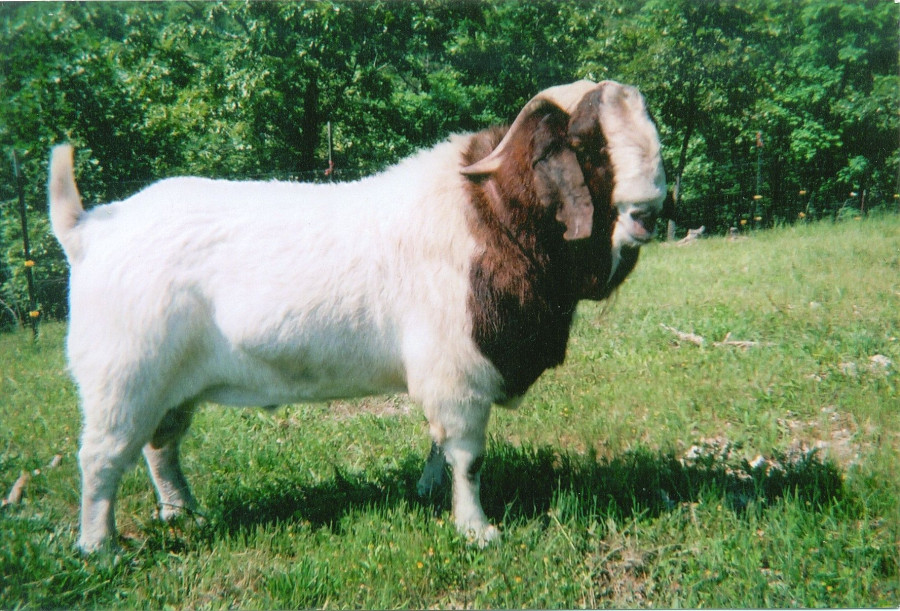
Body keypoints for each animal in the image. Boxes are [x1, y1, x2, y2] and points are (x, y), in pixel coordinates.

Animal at [49, 79, 666, 552]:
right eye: (586, 141)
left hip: (170, 387)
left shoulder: (445, 380)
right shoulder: (459, 376)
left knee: (161, 447)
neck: (489, 212)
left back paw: (185, 514)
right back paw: (101, 548)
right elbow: (467, 458)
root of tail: (88, 229)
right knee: (101, 460)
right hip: (122, 381)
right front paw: (477, 531)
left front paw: (426, 492)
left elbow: (438, 446)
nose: (650, 212)